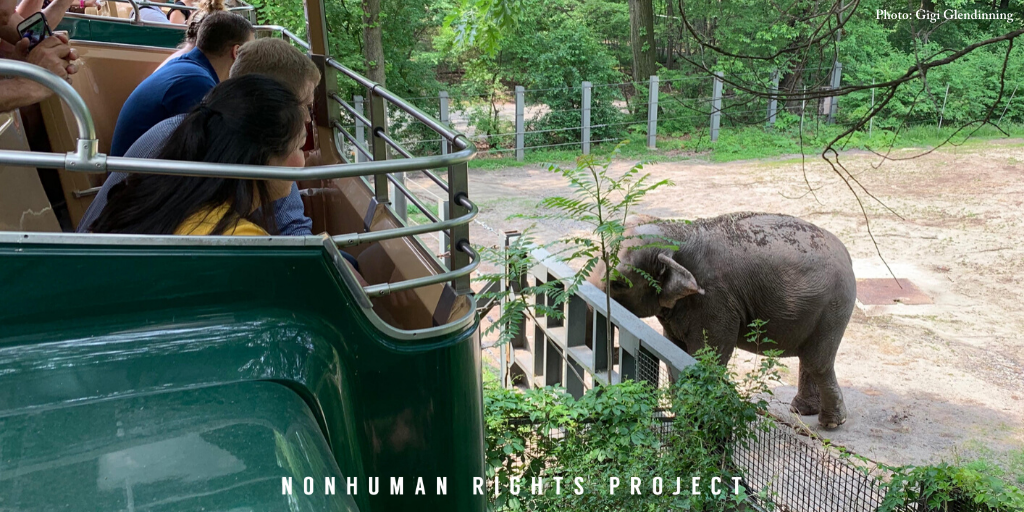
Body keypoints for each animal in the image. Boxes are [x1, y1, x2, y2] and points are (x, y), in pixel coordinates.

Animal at [588, 212, 855, 429]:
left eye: (619, 284)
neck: (677, 233)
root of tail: (846, 252)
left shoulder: (715, 300)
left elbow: (707, 357)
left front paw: (694, 421)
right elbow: (673, 351)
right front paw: (681, 415)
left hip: (834, 305)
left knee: (816, 360)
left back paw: (831, 423)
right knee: (808, 356)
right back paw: (802, 410)